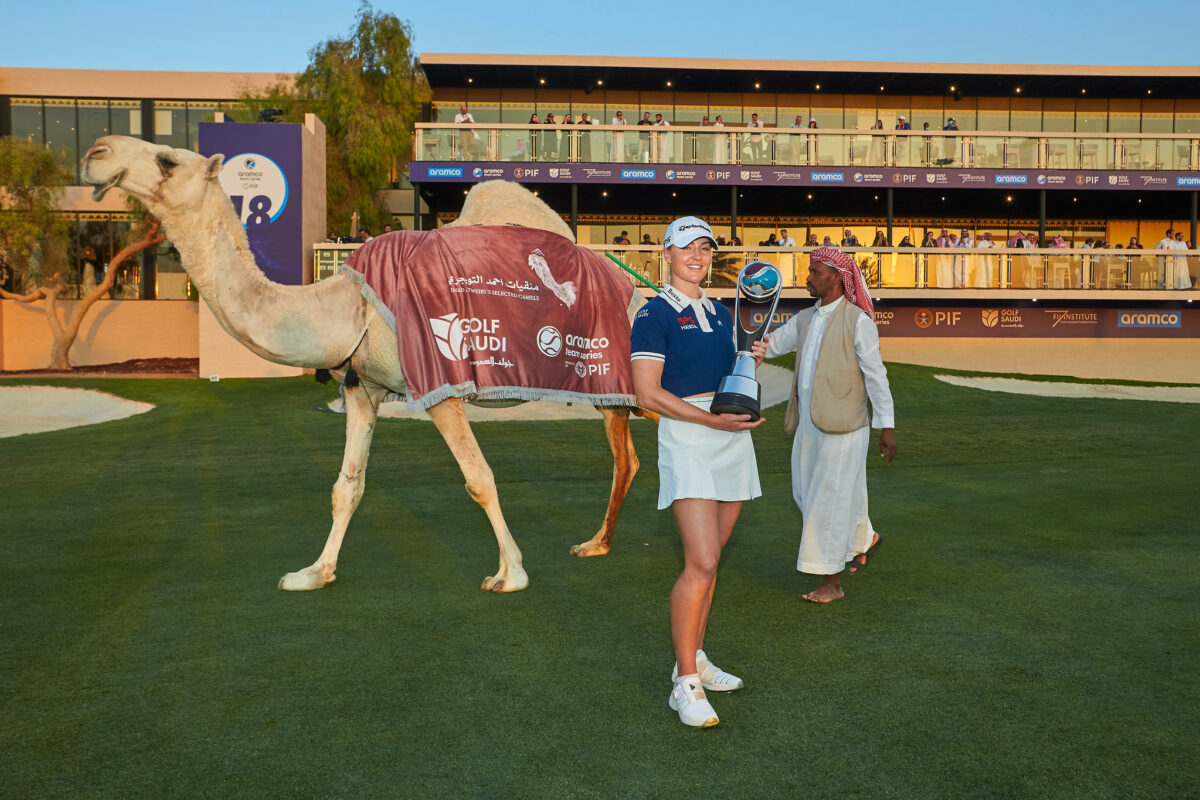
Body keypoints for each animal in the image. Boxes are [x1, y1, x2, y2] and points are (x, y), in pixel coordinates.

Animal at [84, 133, 648, 594]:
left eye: (167, 159)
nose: (96, 152)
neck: (348, 306)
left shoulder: (439, 386)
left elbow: (479, 478)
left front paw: (510, 574)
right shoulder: (362, 387)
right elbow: (346, 486)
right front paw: (313, 572)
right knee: (628, 458)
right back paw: (597, 543)